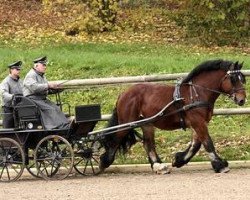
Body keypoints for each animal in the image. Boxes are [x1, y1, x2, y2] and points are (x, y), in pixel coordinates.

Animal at [98, 59, 246, 173]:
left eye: (242, 79)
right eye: (233, 79)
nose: (242, 100)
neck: (197, 92)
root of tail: (123, 94)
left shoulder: (199, 123)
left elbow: (196, 144)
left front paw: (179, 160)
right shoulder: (198, 122)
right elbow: (207, 142)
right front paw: (220, 165)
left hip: (146, 123)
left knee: (148, 144)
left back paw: (159, 166)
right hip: (127, 123)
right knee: (116, 140)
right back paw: (104, 162)